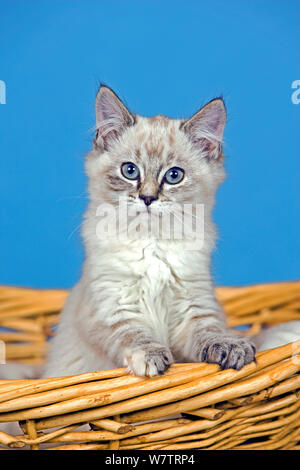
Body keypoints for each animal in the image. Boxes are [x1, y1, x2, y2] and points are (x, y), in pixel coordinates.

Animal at [42, 84, 255, 378]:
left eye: (174, 176)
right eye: (130, 171)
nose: (147, 198)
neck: (151, 242)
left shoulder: (194, 305)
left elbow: (208, 330)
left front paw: (230, 346)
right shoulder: (110, 307)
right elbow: (134, 335)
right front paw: (151, 357)